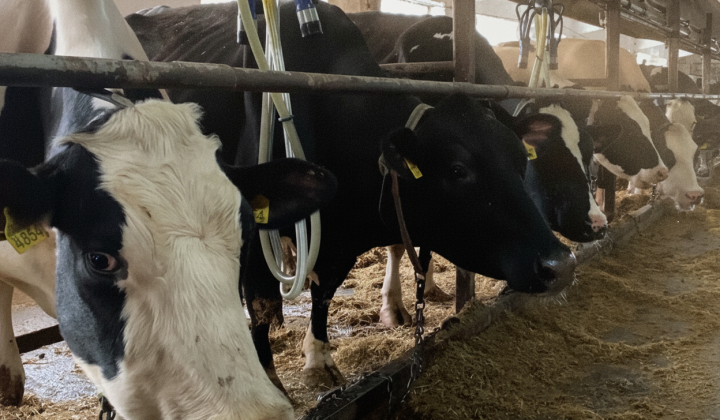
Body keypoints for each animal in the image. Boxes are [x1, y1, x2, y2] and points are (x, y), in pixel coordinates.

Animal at [127, 1, 578, 392]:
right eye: (458, 170)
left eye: (521, 161)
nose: (561, 265)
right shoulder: (257, 230)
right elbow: (262, 306)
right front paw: (272, 382)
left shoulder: (340, 240)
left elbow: (324, 294)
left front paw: (319, 359)